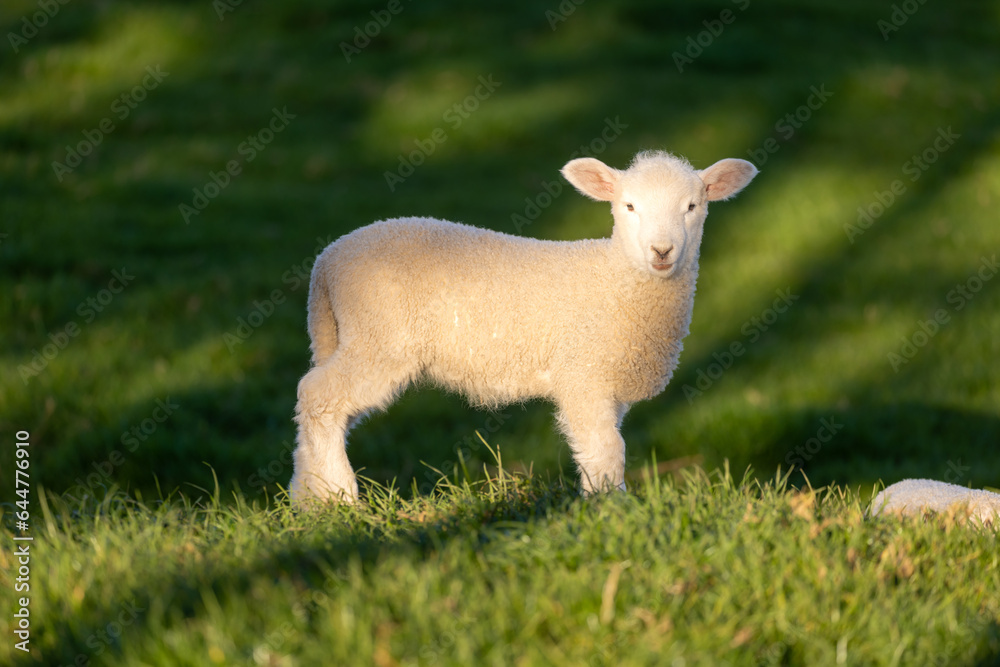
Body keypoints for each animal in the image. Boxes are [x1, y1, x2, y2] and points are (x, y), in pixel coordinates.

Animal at [290, 151, 756, 504]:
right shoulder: (582, 374)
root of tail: (326, 264)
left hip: (349, 337)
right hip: (379, 340)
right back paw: (336, 497)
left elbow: (600, 446)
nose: (662, 251)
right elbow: (607, 449)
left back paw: (308, 496)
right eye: (629, 207)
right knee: (316, 395)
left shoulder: (608, 382)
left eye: (692, 207)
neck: (616, 278)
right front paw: (609, 509)